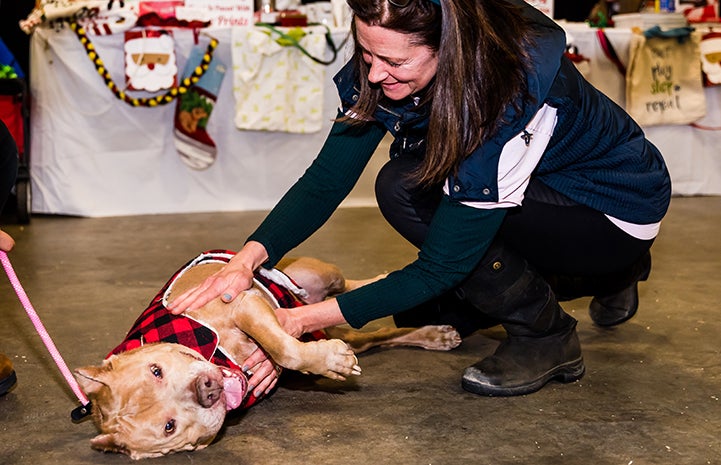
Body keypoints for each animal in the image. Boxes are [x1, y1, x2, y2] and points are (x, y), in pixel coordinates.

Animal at [74, 248, 462, 458]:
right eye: (169, 427)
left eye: (157, 370)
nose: (206, 390)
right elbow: (293, 352)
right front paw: (331, 361)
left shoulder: (242, 303)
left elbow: (284, 348)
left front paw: (325, 358)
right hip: (339, 325)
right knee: (372, 331)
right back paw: (435, 335)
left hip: (321, 273)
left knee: (353, 288)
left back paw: (387, 279)